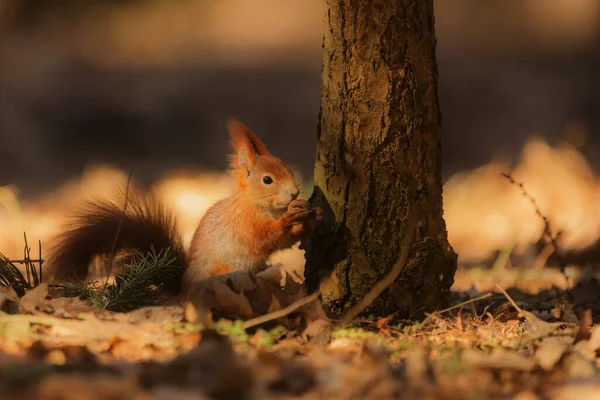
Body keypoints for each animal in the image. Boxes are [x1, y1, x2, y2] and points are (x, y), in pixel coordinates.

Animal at [46, 120, 322, 296]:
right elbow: (265, 240)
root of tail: (183, 288)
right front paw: (289, 220)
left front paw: (308, 216)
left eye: (287, 168)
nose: (294, 193)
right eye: (267, 180)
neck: (257, 205)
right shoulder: (245, 225)